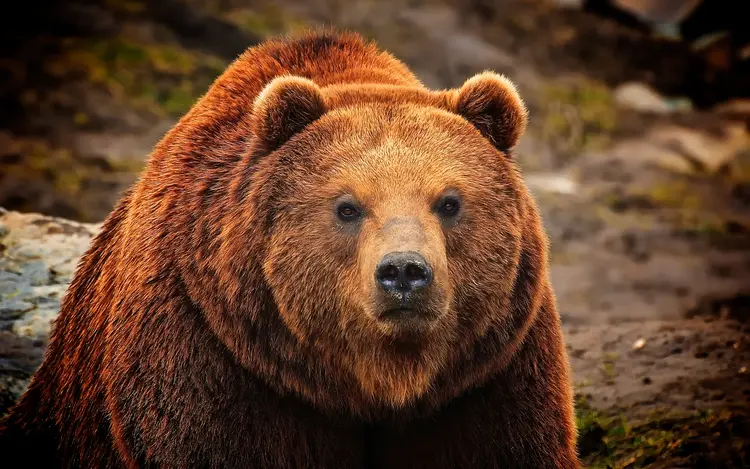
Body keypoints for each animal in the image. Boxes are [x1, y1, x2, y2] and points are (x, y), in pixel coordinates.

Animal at [0, 31, 580, 466]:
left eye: (450, 201)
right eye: (347, 207)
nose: (404, 272)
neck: (375, 382)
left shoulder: (488, 372)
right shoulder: (215, 357)